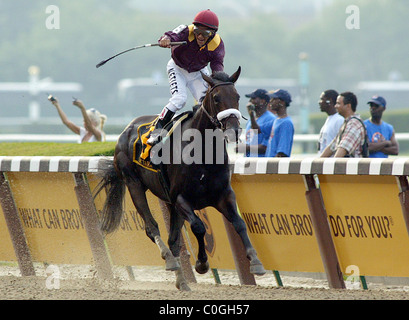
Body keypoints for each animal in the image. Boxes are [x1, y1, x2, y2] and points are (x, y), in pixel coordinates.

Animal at [95, 67, 264, 290]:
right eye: (216, 98)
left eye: (237, 96)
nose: (234, 131)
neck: (203, 152)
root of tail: (127, 129)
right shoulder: (181, 198)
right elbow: (199, 228)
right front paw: (202, 263)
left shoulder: (223, 195)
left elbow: (239, 224)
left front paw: (256, 261)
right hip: (134, 185)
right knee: (152, 228)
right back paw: (169, 260)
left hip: (168, 201)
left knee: (173, 239)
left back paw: (182, 281)